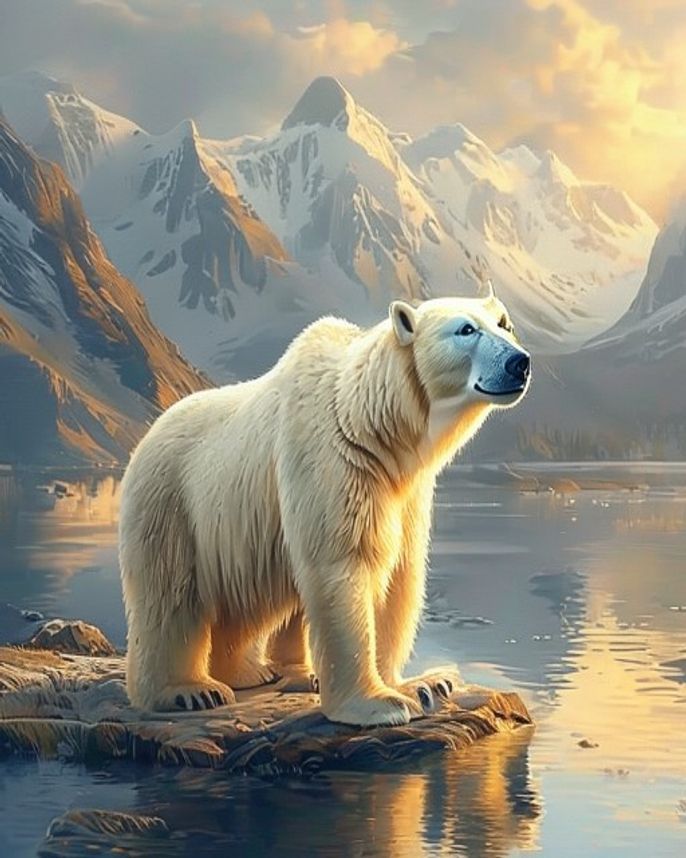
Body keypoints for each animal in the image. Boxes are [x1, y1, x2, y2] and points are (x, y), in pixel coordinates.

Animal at [119, 292, 530, 726]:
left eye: (505, 324)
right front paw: (378, 704)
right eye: (466, 329)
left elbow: (399, 576)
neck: (370, 426)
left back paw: (253, 671)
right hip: (174, 503)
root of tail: (148, 433)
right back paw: (190, 690)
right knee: (171, 597)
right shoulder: (331, 461)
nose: (518, 362)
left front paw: (422, 685)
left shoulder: (406, 492)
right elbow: (344, 563)